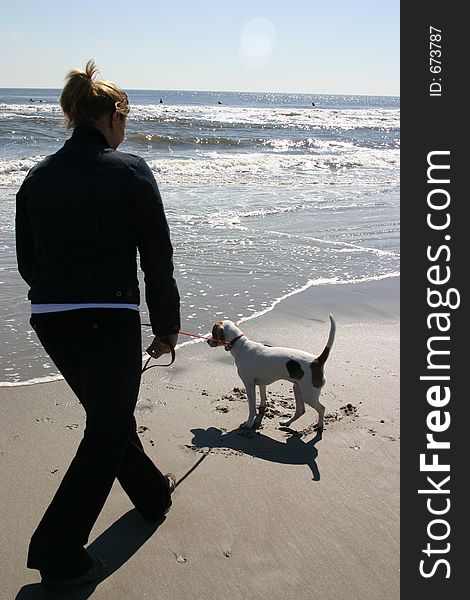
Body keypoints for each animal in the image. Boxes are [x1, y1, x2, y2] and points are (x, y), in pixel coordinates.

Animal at [207, 316, 336, 428]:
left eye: (213, 332)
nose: (208, 341)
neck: (241, 345)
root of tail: (317, 361)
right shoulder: (261, 383)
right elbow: (263, 398)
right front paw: (261, 409)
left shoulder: (249, 384)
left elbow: (251, 408)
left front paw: (249, 423)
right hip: (298, 388)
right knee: (301, 410)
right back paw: (286, 422)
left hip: (309, 394)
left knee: (321, 408)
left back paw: (319, 425)